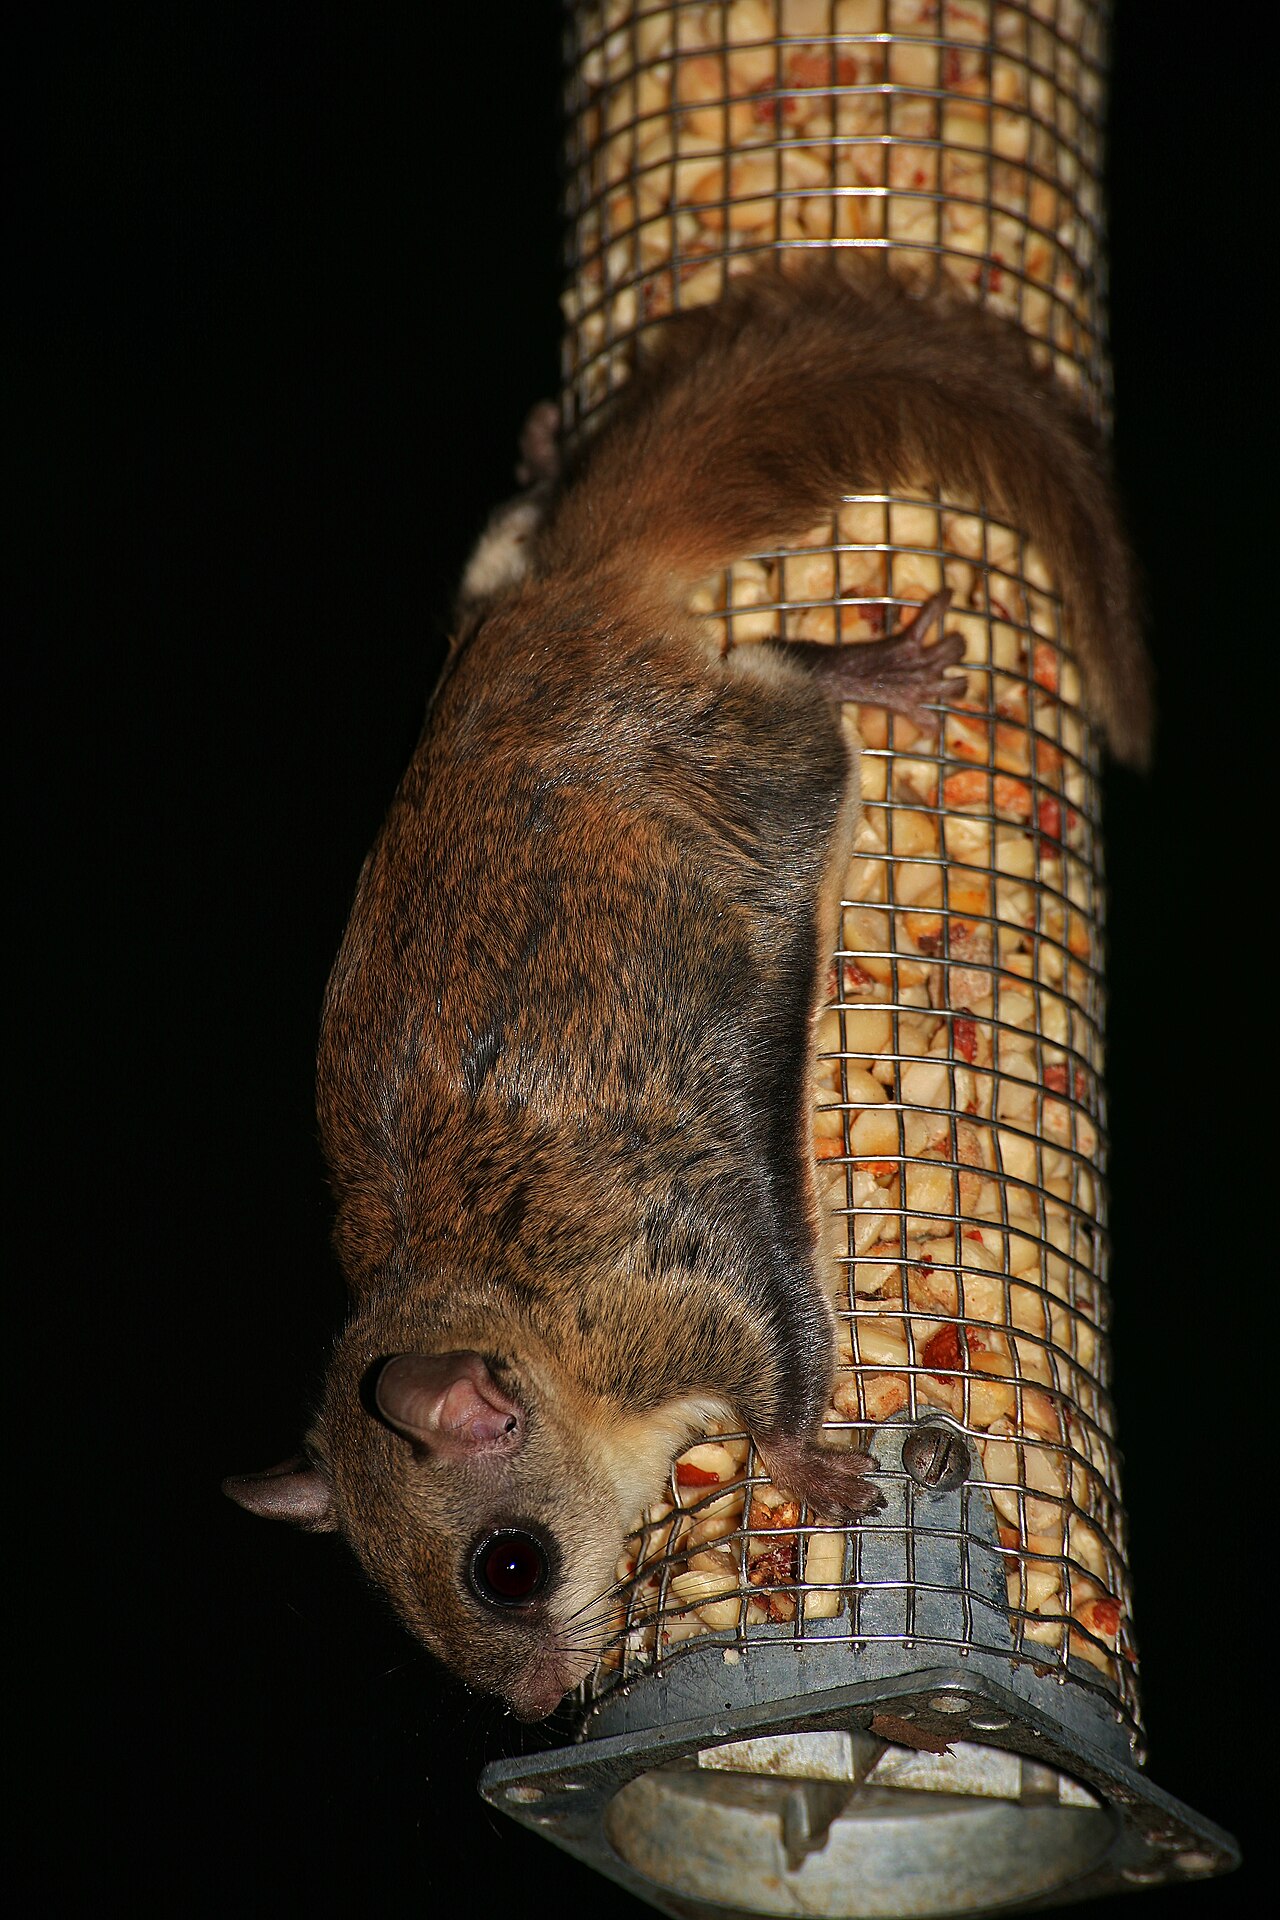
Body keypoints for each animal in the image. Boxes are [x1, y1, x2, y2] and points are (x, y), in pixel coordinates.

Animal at [224, 259, 1148, 1720]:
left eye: (508, 1565)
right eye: (402, 1608)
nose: (536, 1709)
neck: (517, 1320)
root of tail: (565, 619)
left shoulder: (681, 1289)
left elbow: (781, 1357)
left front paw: (807, 1469)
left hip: (755, 768)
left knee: (784, 685)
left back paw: (866, 668)